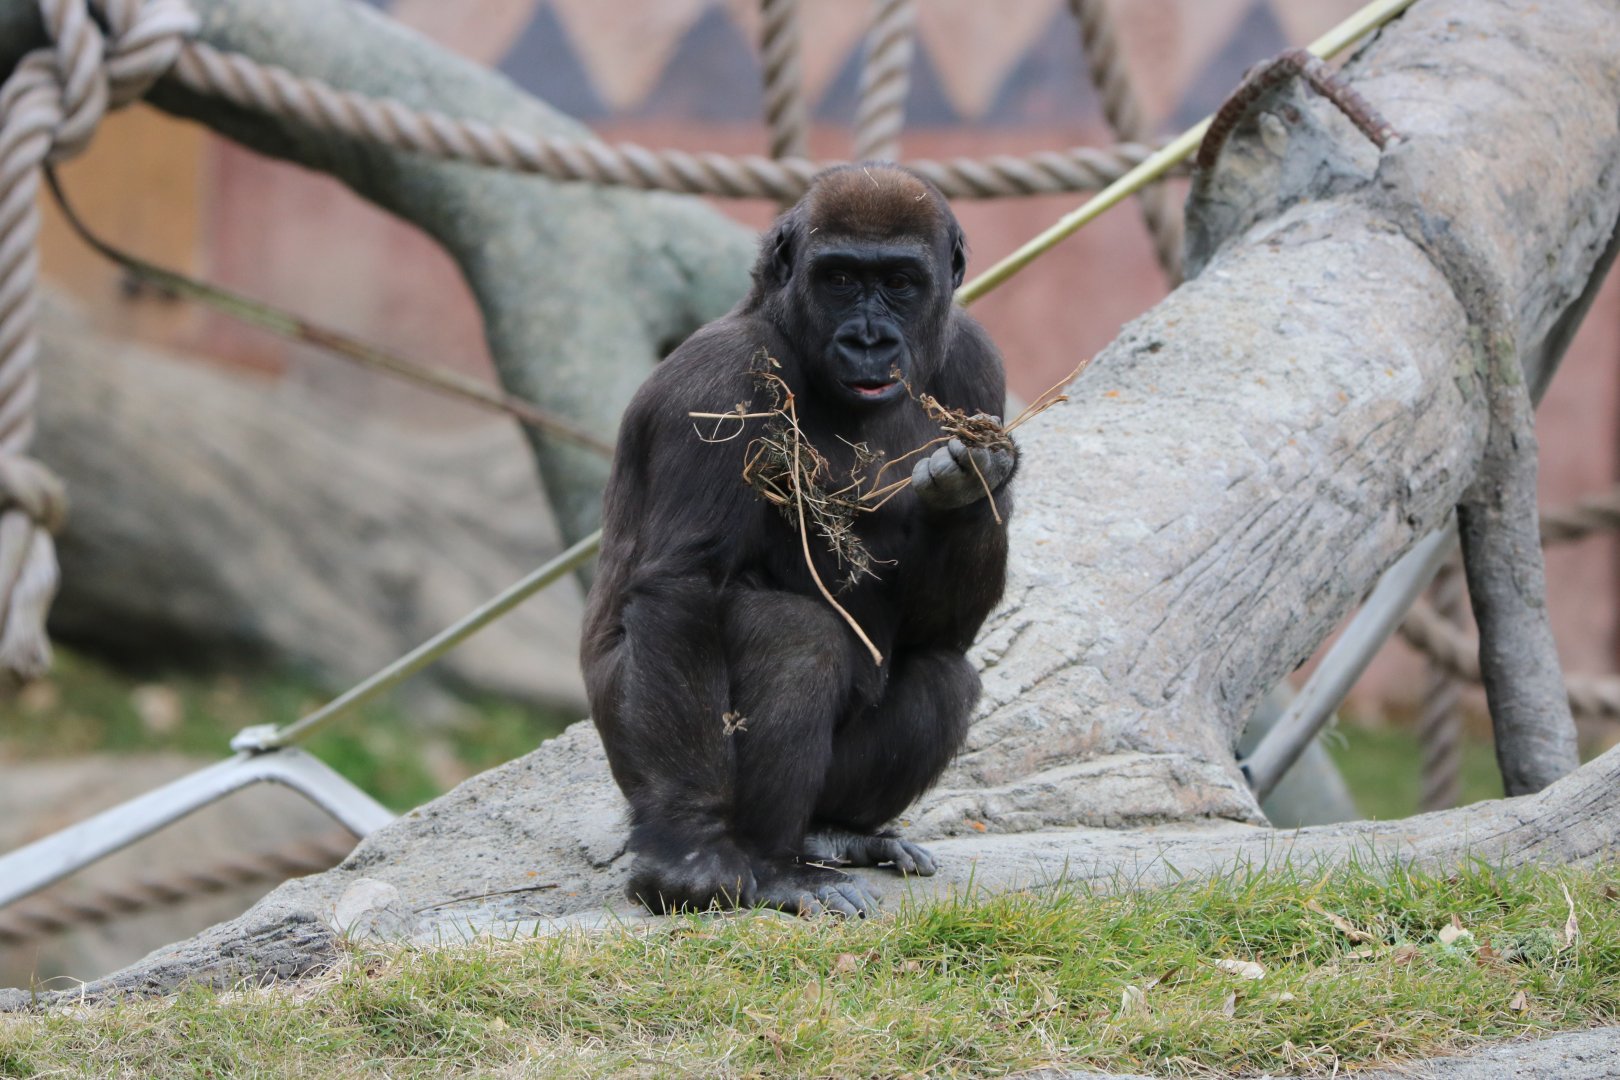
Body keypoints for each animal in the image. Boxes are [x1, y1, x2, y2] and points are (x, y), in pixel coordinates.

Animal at [581, 164, 1015, 916]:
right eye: (838, 279)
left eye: (899, 282)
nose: (868, 341)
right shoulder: (718, 384)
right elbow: (683, 586)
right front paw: (689, 855)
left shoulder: (976, 364)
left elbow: (942, 631)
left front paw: (969, 484)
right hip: (631, 761)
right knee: (793, 637)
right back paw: (767, 863)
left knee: (942, 674)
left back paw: (838, 833)